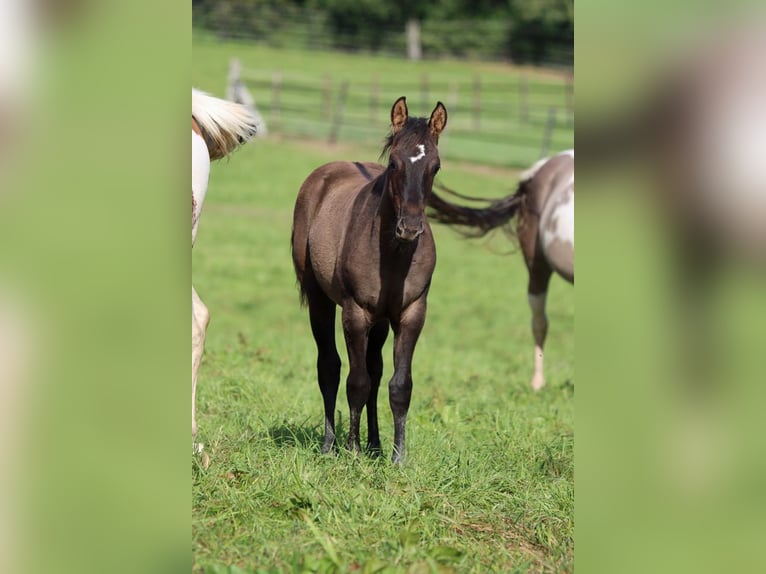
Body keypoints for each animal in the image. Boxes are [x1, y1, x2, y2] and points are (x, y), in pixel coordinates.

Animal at [291, 96, 447, 464]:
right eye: (393, 162)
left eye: (435, 166)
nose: (410, 227)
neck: (393, 255)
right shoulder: (356, 312)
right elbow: (356, 381)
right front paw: (352, 450)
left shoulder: (411, 313)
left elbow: (399, 384)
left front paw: (398, 457)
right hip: (320, 299)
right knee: (330, 367)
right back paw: (330, 444)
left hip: (382, 320)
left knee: (376, 371)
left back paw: (375, 444)